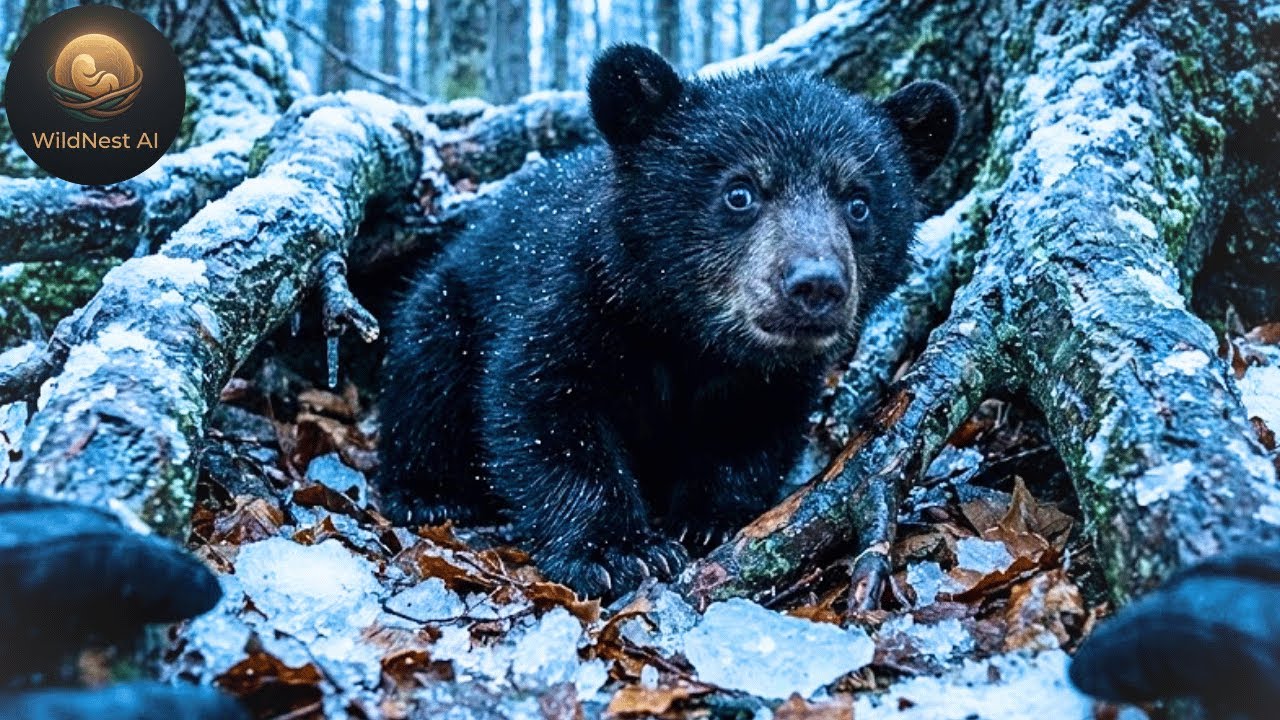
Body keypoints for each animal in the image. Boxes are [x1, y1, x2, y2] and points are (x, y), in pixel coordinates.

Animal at [378, 44, 959, 597]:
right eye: (740, 192)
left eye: (859, 203)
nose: (816, 284)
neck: (691, 337)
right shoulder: (575, 299)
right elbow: (545, 404)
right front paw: (618, 550)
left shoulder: (773, 376)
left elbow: (754, 429)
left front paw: (708, 519)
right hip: (444, 308)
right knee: (425, 380)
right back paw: (429, 494)